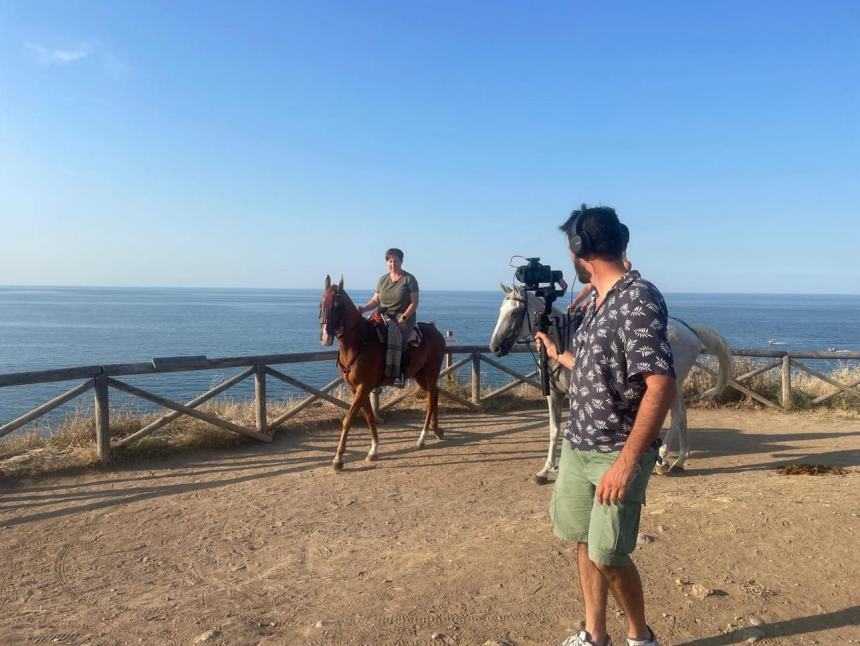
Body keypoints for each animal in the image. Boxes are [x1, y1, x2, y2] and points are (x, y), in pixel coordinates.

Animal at [320, 274, 446, 470]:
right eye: (321, 304)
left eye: (337, 305)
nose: (325, 337)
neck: (359, 342)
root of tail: (434, 330)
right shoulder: (356, 388)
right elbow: (369, 417)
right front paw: (374, 450)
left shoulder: (363, 386)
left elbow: (348, 420)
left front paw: (338, 458)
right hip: (419, 375)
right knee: (434, 396)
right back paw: (436, 429)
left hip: (432, 373)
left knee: (431, 400)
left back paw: (422, 438)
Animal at [490, 284, 732, 480]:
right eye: (500, 311)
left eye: (514, 312)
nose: (495, 347)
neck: (562, 342)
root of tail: (690, 331)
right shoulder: (555, 395)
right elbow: (554, 430)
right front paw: (547, 469)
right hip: (677, 384)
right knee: (682, 414)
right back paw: (679, 461)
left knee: (678, 415)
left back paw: (663, 458)